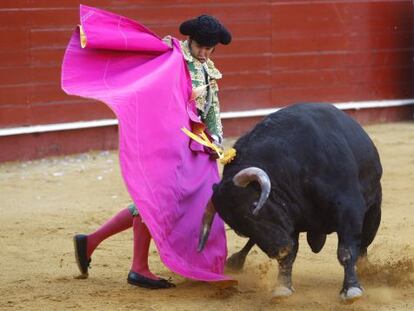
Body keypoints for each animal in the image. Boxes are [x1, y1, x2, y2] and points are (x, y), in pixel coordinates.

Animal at [197, 104, 382, 302]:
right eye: (237, 227)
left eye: (254, 205)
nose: (279, 250)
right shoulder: (288, 220)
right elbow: (288, 257)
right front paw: (283, 287)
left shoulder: (349, 208)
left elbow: (347, 250)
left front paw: (351, 289)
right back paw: (235, 261)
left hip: (374, 210)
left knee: (364, 244)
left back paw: (366, 269)